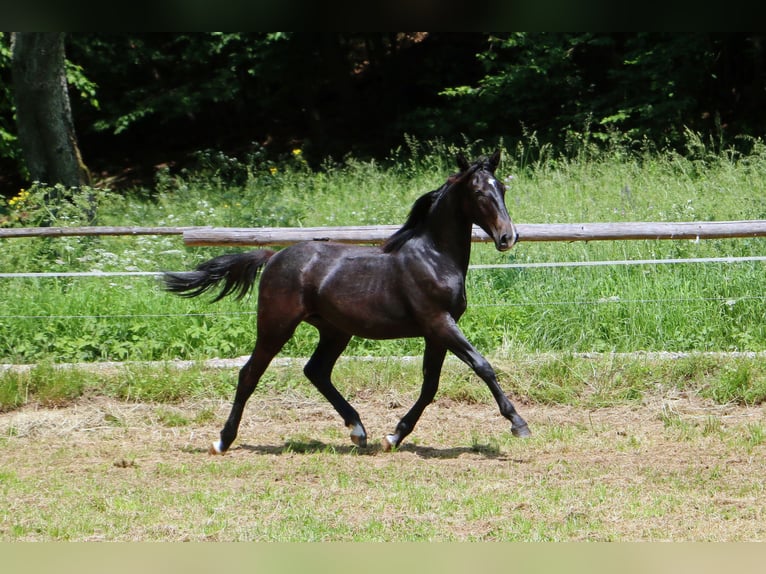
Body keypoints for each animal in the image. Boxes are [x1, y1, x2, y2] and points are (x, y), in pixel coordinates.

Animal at [165, 151, 532, 456]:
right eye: (479, 193)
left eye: (502, 188)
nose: (508, 237)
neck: (434, 257)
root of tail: (272, 257)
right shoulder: (439, 322)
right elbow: (482, 366)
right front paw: (519, 424)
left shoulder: (436, 331)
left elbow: (430, 386)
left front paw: (393, 436)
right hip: (276, 325)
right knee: (249, 374)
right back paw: (222, 441)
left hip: (334, 331)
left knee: (316, 371)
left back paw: (358, 430)